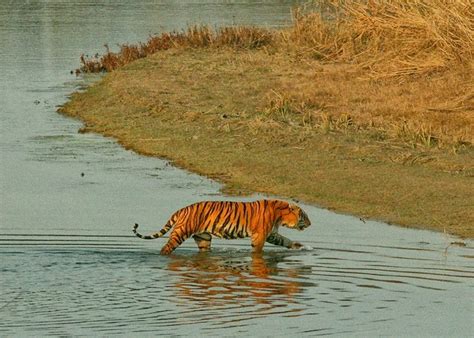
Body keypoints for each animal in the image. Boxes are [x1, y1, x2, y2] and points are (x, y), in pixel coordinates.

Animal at [133, 199, 312, 255]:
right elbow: (258, 250)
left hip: (203, 237)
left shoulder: (271, 234)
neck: (280, 215)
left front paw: (300, 246)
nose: (311, 224)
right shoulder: (260, 235)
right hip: (180, 233)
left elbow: (285, 240)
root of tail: (182, 209)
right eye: (305, 216)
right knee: (166, 248)